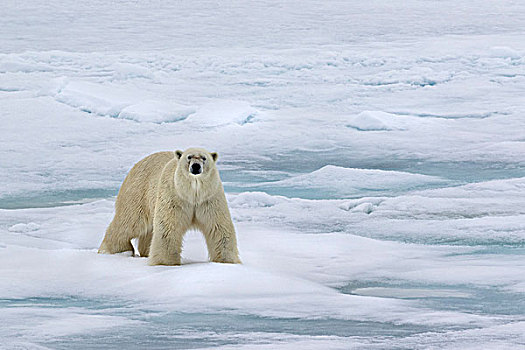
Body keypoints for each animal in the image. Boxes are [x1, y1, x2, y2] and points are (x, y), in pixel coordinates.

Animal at [98, 148, 242, 266]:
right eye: (189, 157)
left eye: (204, 158)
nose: (196, 166)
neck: (192, 194)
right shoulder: (174, 196)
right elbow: (168, 227)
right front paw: (165, 263)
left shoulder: (209, 199)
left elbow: (218, 227)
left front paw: (227, 261)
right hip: (139, 191)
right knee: (130, 222)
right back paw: (115, 250)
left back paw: (145, 252)